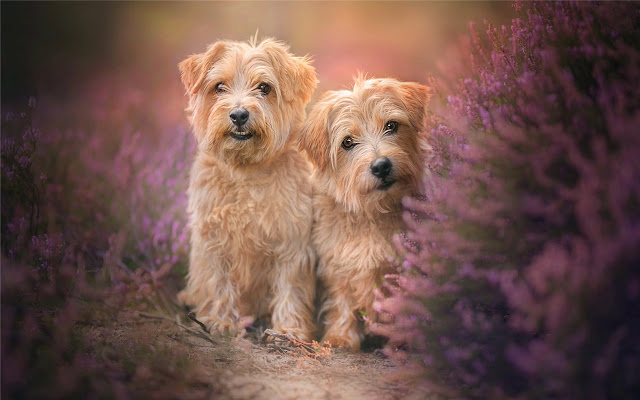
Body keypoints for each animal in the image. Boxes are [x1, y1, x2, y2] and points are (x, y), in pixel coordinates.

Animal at [178, 37, 318, 340]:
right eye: (219, 86)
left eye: (264, 87)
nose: (239, 114)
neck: (246, 171)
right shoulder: (213, 239)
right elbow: (218, 282)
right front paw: (219, 321)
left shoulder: (292, 241)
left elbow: (290, 287)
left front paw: (288, 329)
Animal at [298, 76, 430, 350]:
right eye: (347, 142)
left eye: (391, 125)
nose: (381, 166)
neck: (372, 213)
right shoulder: (337, 263)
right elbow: (341, 301)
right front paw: (340, 336)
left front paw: (400, 339)